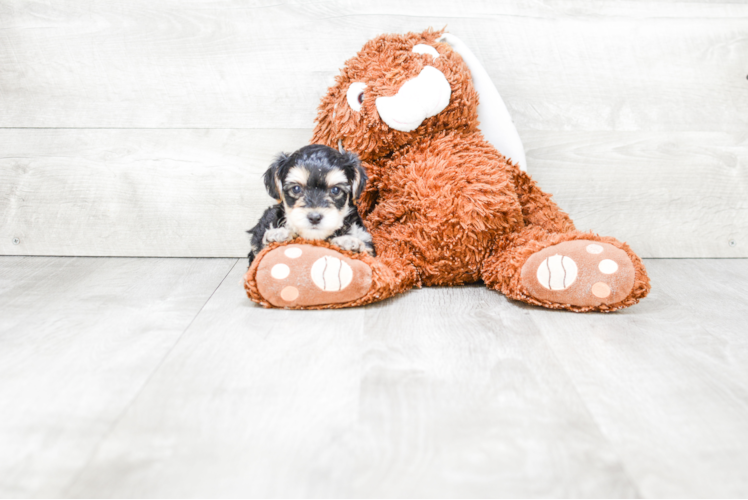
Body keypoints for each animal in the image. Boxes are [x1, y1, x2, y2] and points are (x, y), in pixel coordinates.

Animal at [245, 144, 374, 266]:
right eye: (296, 189)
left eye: (336, 190)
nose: (314, 217)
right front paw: (279, 234)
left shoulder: (366, 242)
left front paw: (348, 242)